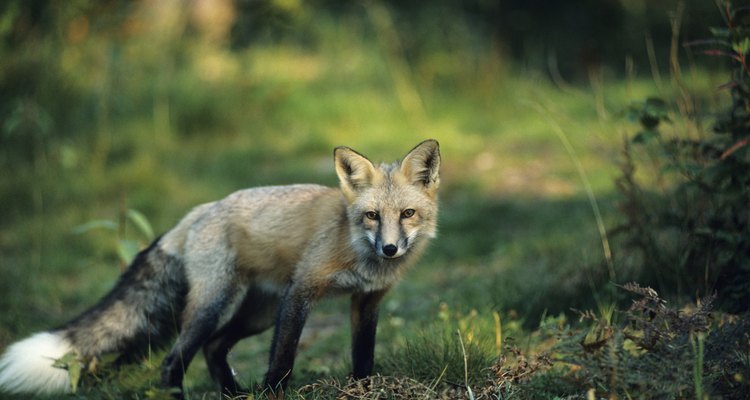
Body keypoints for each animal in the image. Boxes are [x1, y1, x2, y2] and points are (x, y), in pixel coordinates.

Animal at [0, 139, 440, 396]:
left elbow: (363, 355)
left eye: (407, 214)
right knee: (174, 360)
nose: (389, 249)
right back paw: (178, 393)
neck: (357, 249)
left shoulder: (367, 299)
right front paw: (273, 392)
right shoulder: (302, 290)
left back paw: (233, 393)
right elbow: (283, 358)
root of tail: (199, 211)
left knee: (213, 349)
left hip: (259, 313)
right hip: (216, 304)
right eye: (371, 215)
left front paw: (364, 388)